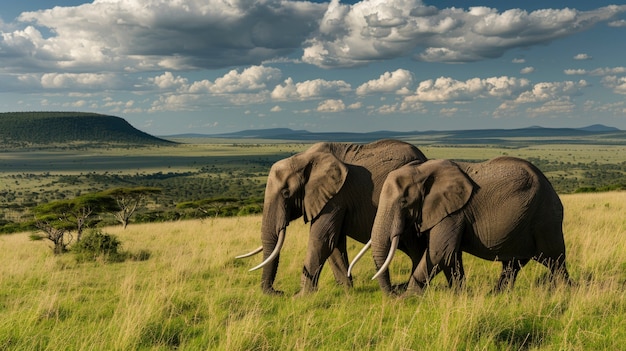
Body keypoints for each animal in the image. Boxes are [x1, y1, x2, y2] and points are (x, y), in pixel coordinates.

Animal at [236, 139, 426, 296]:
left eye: (286, 193)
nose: (278, 292)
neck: (303, 158)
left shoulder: (336, 197)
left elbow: (322, 239)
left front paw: (300, 297)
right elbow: (334, 242)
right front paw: (347, 292)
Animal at [370, 158, 572, 296]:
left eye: (404, 201)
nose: (395, 291)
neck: (422, 170)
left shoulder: (453, 213)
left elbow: (439, 253)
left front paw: (409, 297)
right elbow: (451, 255)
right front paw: (459, 295)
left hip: (545, 216)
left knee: (554, 259)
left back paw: (566, 292)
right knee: (513, 264)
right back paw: (497, 295)